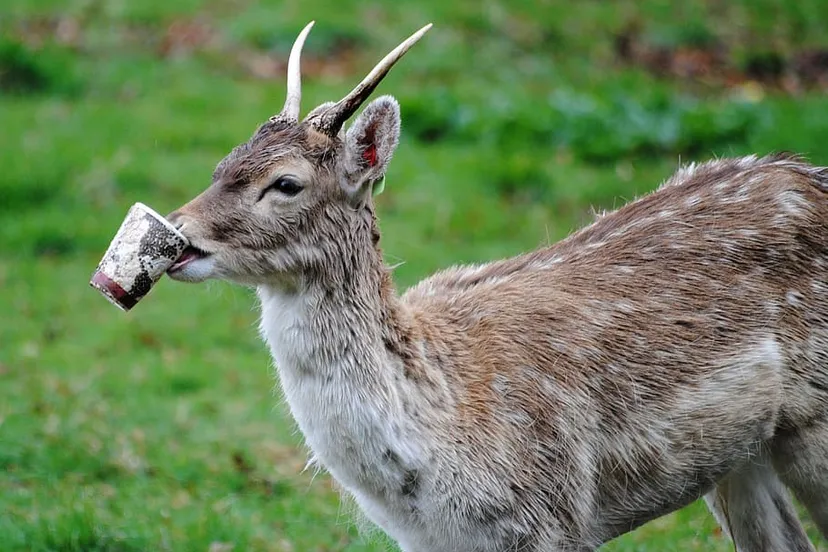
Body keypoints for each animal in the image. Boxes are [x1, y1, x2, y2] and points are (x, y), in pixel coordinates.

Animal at [165, 21, 828, 552]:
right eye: (223, 163)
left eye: (285, 183)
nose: (176, 233)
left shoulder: (553, 515)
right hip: (737, 455)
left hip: (813, 423)